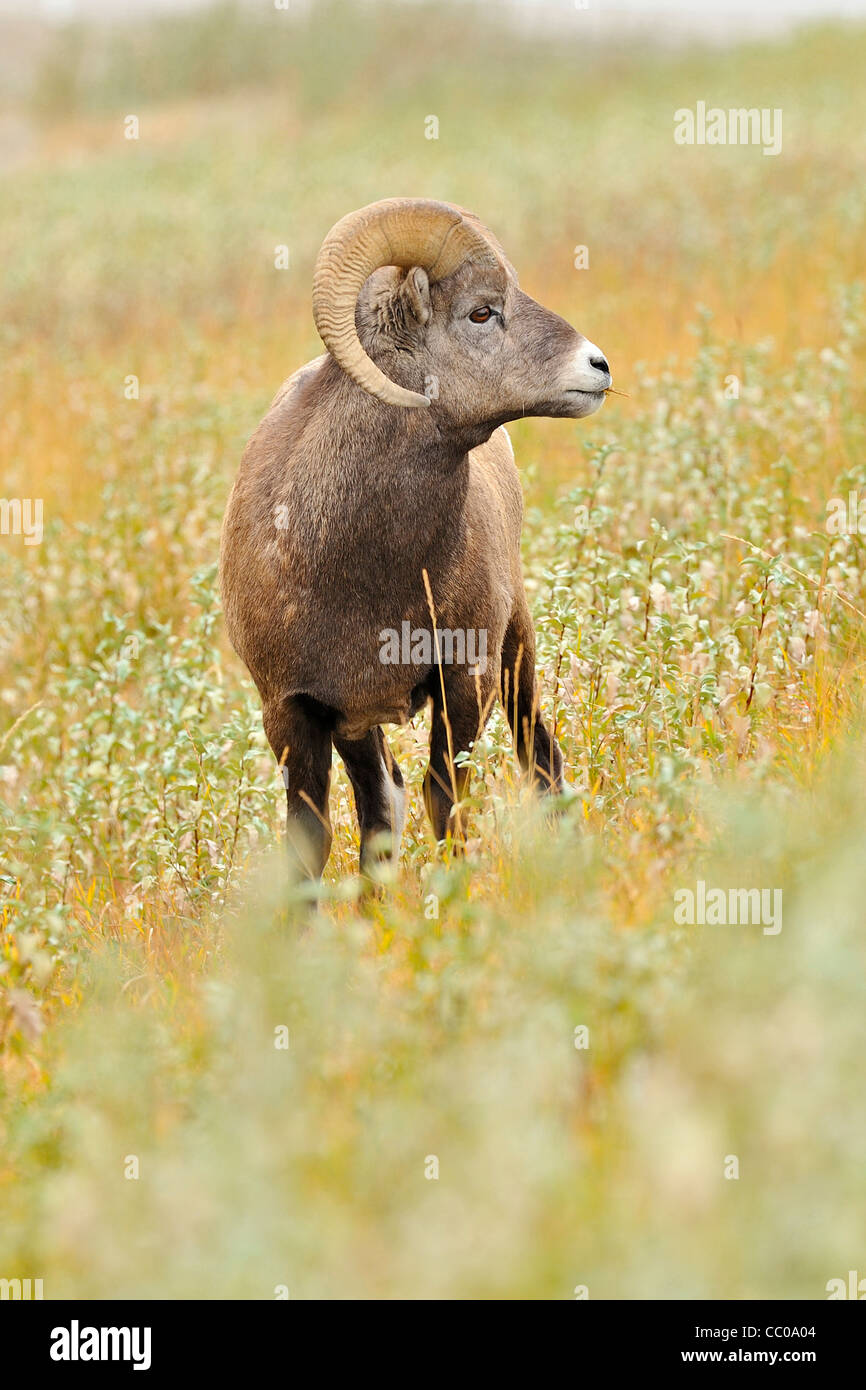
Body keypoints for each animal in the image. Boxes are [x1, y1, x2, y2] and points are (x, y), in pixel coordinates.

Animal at [220, 197, 611, 877]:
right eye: (481, 311)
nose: (598, 366)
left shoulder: (466, 679)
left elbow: (445, 800)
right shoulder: (293, 713)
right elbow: (313, 842)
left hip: (517, 651)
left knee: (540, 761)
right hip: (358, 728)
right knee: (382, 807)